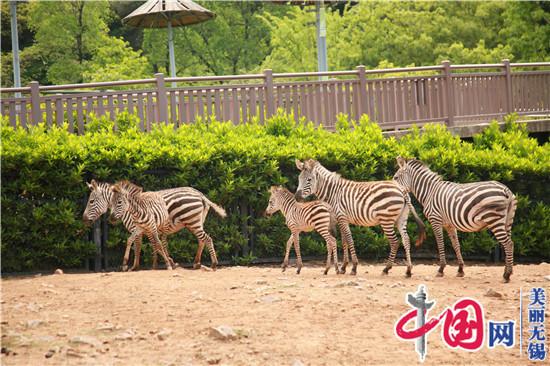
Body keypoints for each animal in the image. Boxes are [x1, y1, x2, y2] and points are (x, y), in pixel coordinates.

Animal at [296, 159, 430, 276]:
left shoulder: (342, 217)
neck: (334, 192)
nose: (297, 197)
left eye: (309, 179)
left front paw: (354, 267)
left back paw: (386, 268)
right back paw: (408, 269)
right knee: (406, 239)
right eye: (299, 178)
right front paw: (344, 267)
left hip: (386, 220)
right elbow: (344, 241)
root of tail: (401, 190)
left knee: (395, 241)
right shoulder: (341, 219)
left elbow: (349, 240)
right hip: (401, 219)